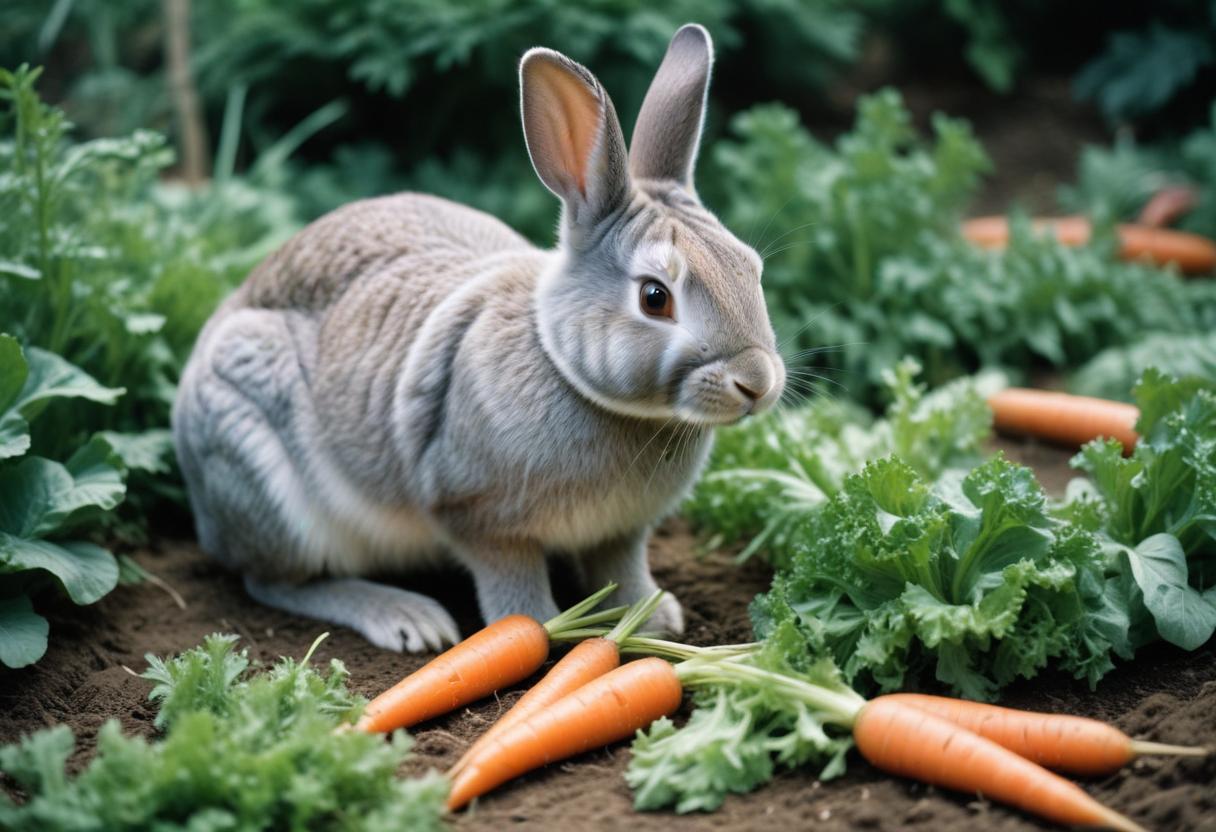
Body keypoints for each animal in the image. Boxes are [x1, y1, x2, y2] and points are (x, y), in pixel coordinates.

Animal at [172, 23, 785, 653]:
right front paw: (542, 627)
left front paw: (656, 617)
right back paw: (410, 621)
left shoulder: (622, 530)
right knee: (277, 581)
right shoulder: (479, 516)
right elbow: (510, 580)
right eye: (655, 297)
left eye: (751, 268)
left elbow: (623, 567)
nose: (757, 384)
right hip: (264, 474)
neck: (565, 365)